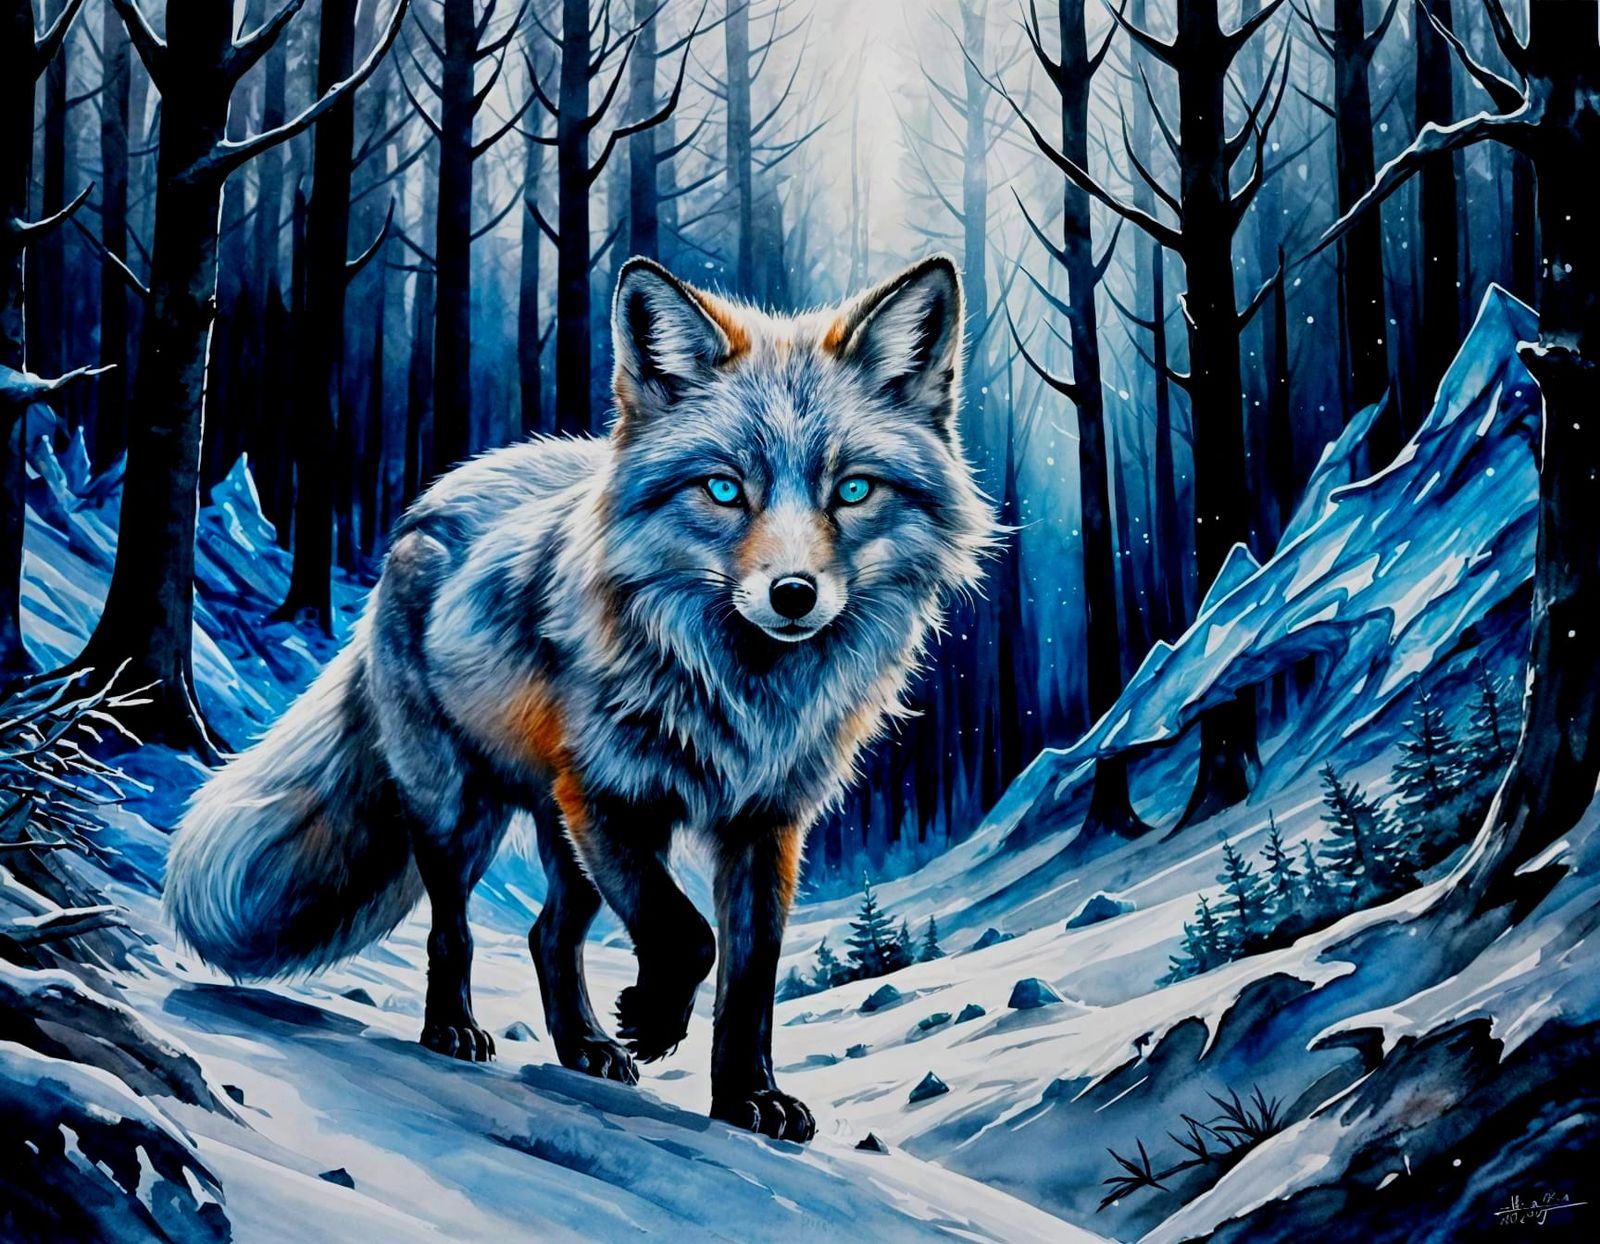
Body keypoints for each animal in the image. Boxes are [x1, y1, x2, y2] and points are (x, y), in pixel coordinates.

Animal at [164, 254, 996, 1142]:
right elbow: (686, 934)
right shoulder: (606, 794)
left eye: (854, 491)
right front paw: (655, 1020)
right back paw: (453, 1029)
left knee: (545, 936)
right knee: (454, 930)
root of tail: (427, 505)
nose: (795, 594)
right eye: (724, 490)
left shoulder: (764, 823)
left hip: (563, 838)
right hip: (462, 810)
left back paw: (582, 1046)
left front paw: (745, 1096)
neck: (743, 696)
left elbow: (751, 978)